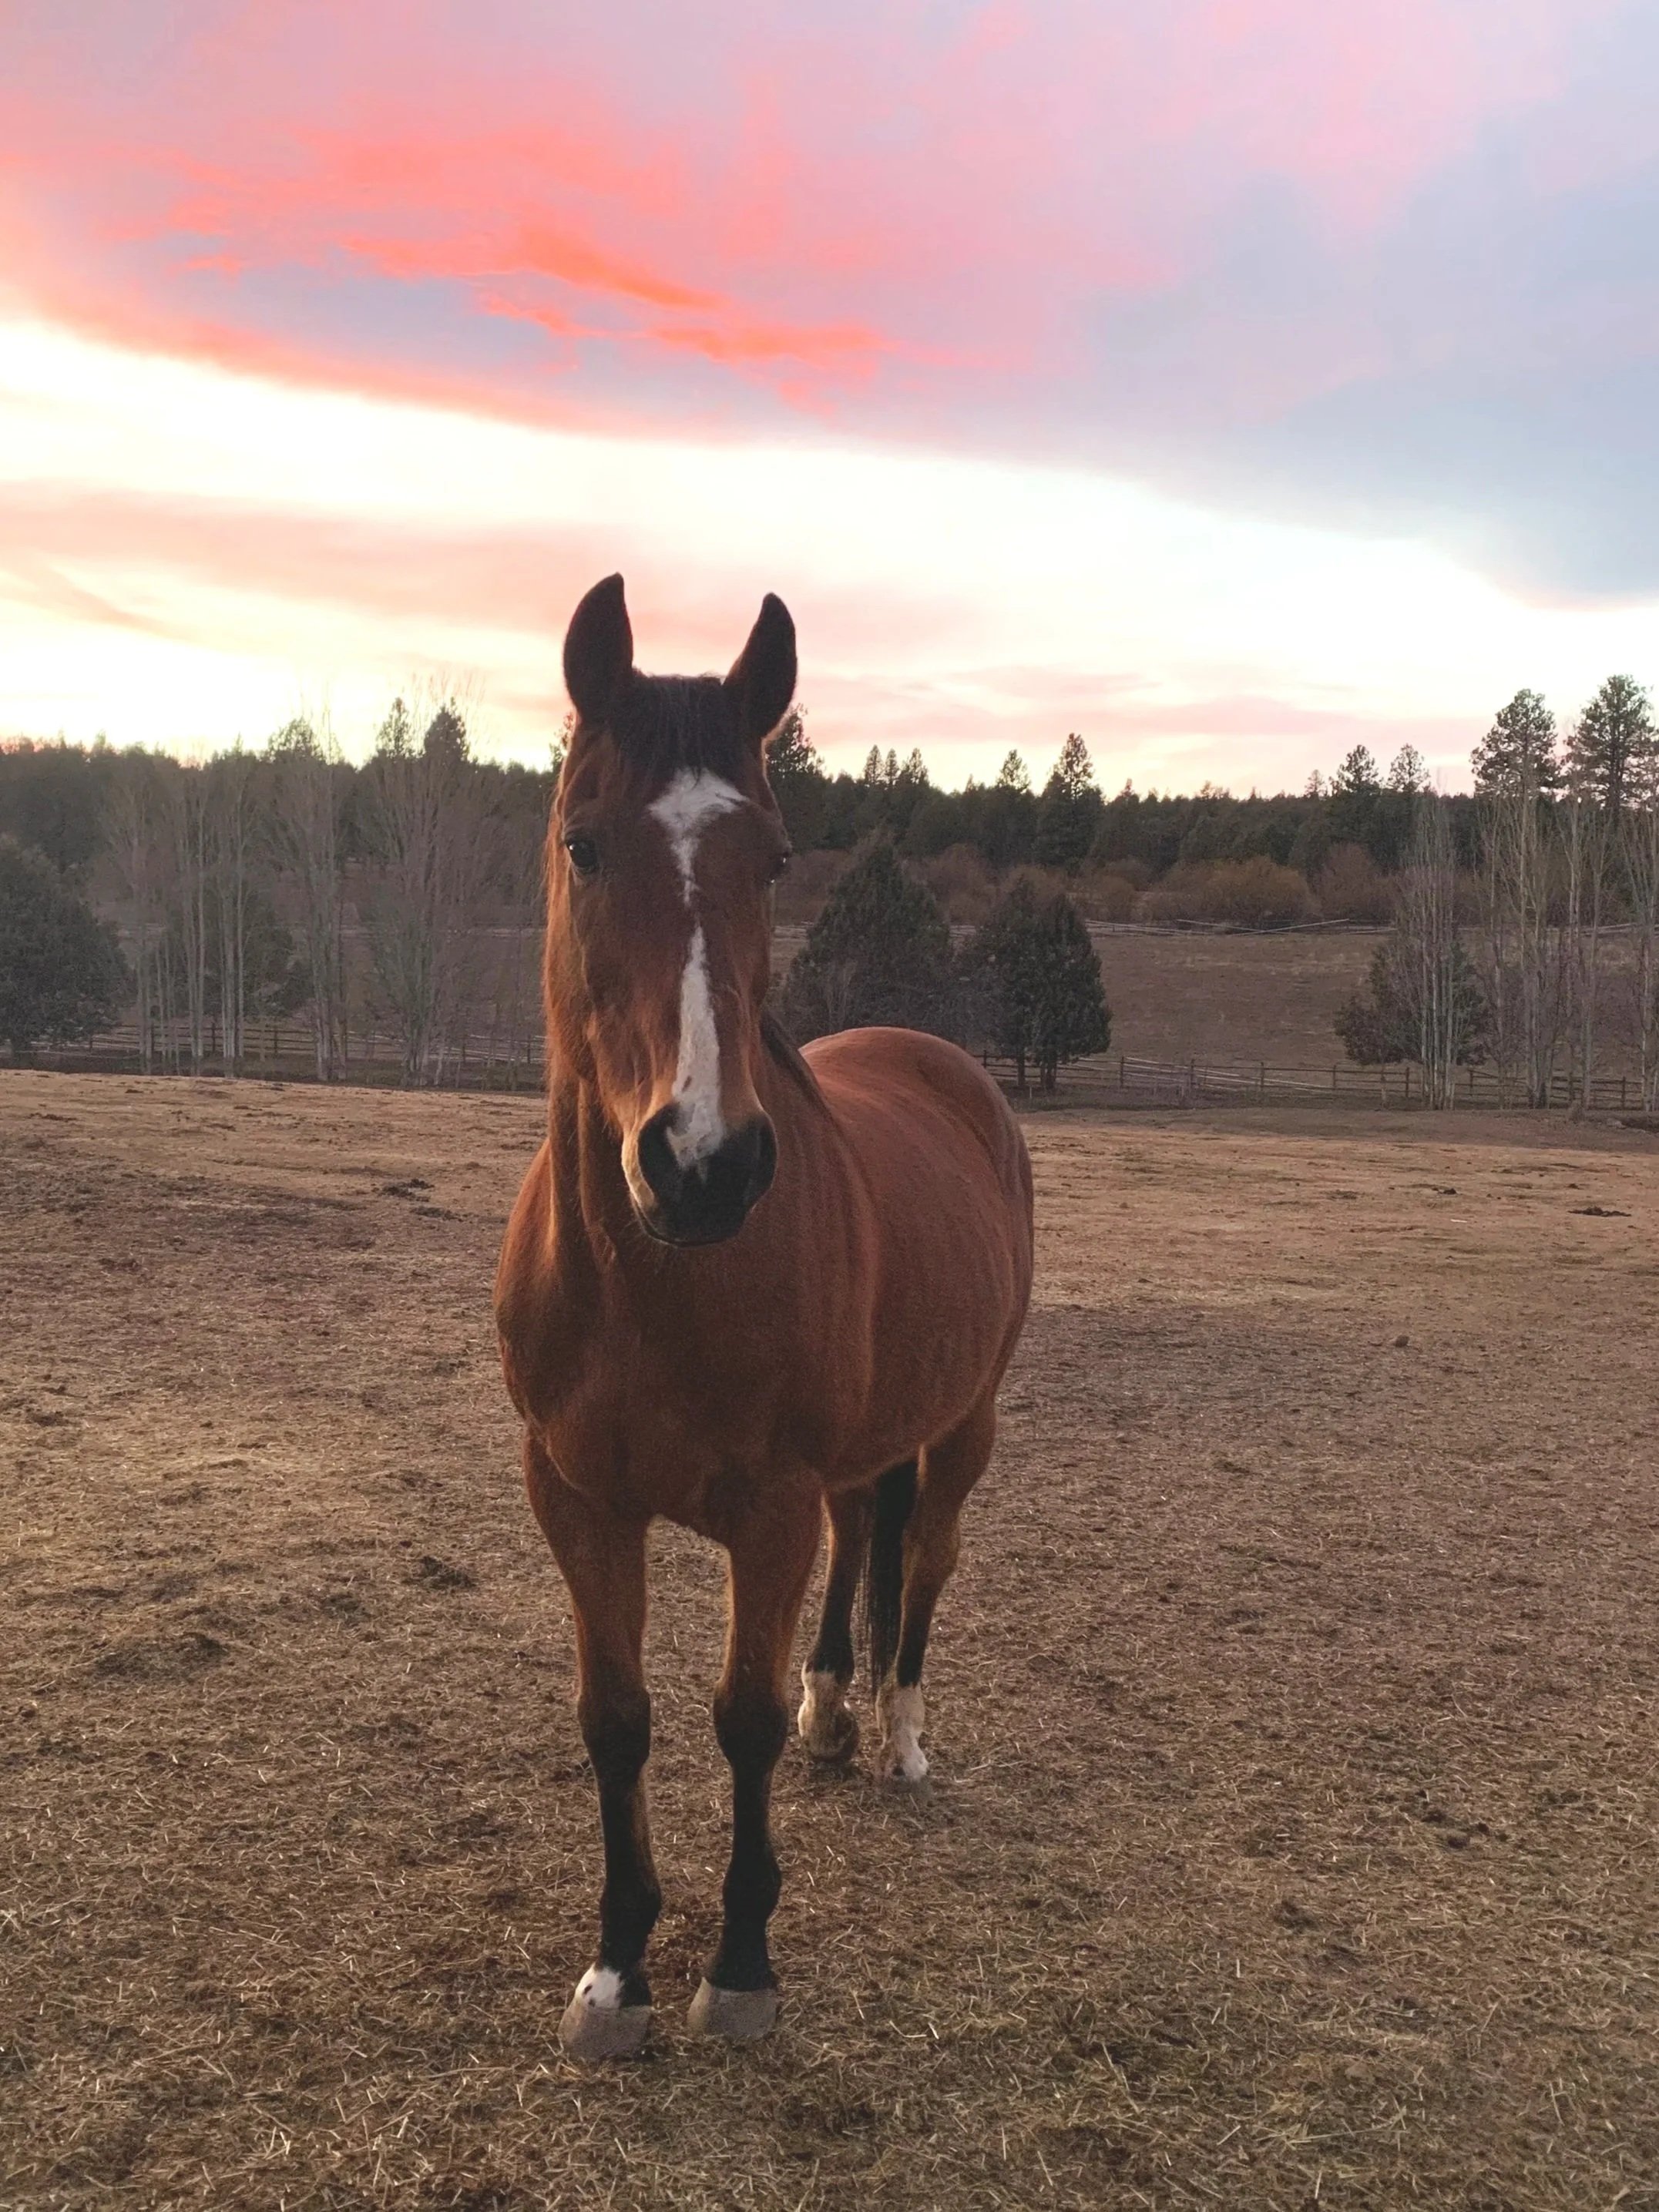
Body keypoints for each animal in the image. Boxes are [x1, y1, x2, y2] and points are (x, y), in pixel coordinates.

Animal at [494, 575, 1034, 2059]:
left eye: (777, 860)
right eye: (583, 844)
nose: (703, 1164)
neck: (650, 1286)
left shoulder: (768, 1507)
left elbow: (734, 1718)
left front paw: (738, 1964)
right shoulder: (577, 1497)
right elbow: (614, 1717)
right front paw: (617, 1968)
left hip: (965, 1421)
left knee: (924, 1558)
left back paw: (896, 1732)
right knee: (867, 1533)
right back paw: (834, 1710)